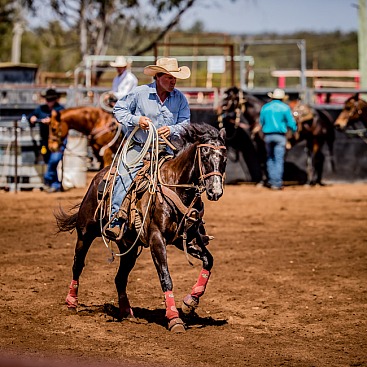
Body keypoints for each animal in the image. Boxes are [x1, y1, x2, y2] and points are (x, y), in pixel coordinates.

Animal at [54, 123, 227, 334]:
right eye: (205, 156)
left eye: (224, 158)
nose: (215, 191)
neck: (176, 187)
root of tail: (98, 177)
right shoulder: (156, 239)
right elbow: (165, 277)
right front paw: (174, 319)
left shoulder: (187, 240)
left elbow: (209, 261)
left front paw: (190, 302)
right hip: (85, 233)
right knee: (78, 264)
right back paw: (71, 302)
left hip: (128, 247)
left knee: (120, 278)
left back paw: (127, 312)